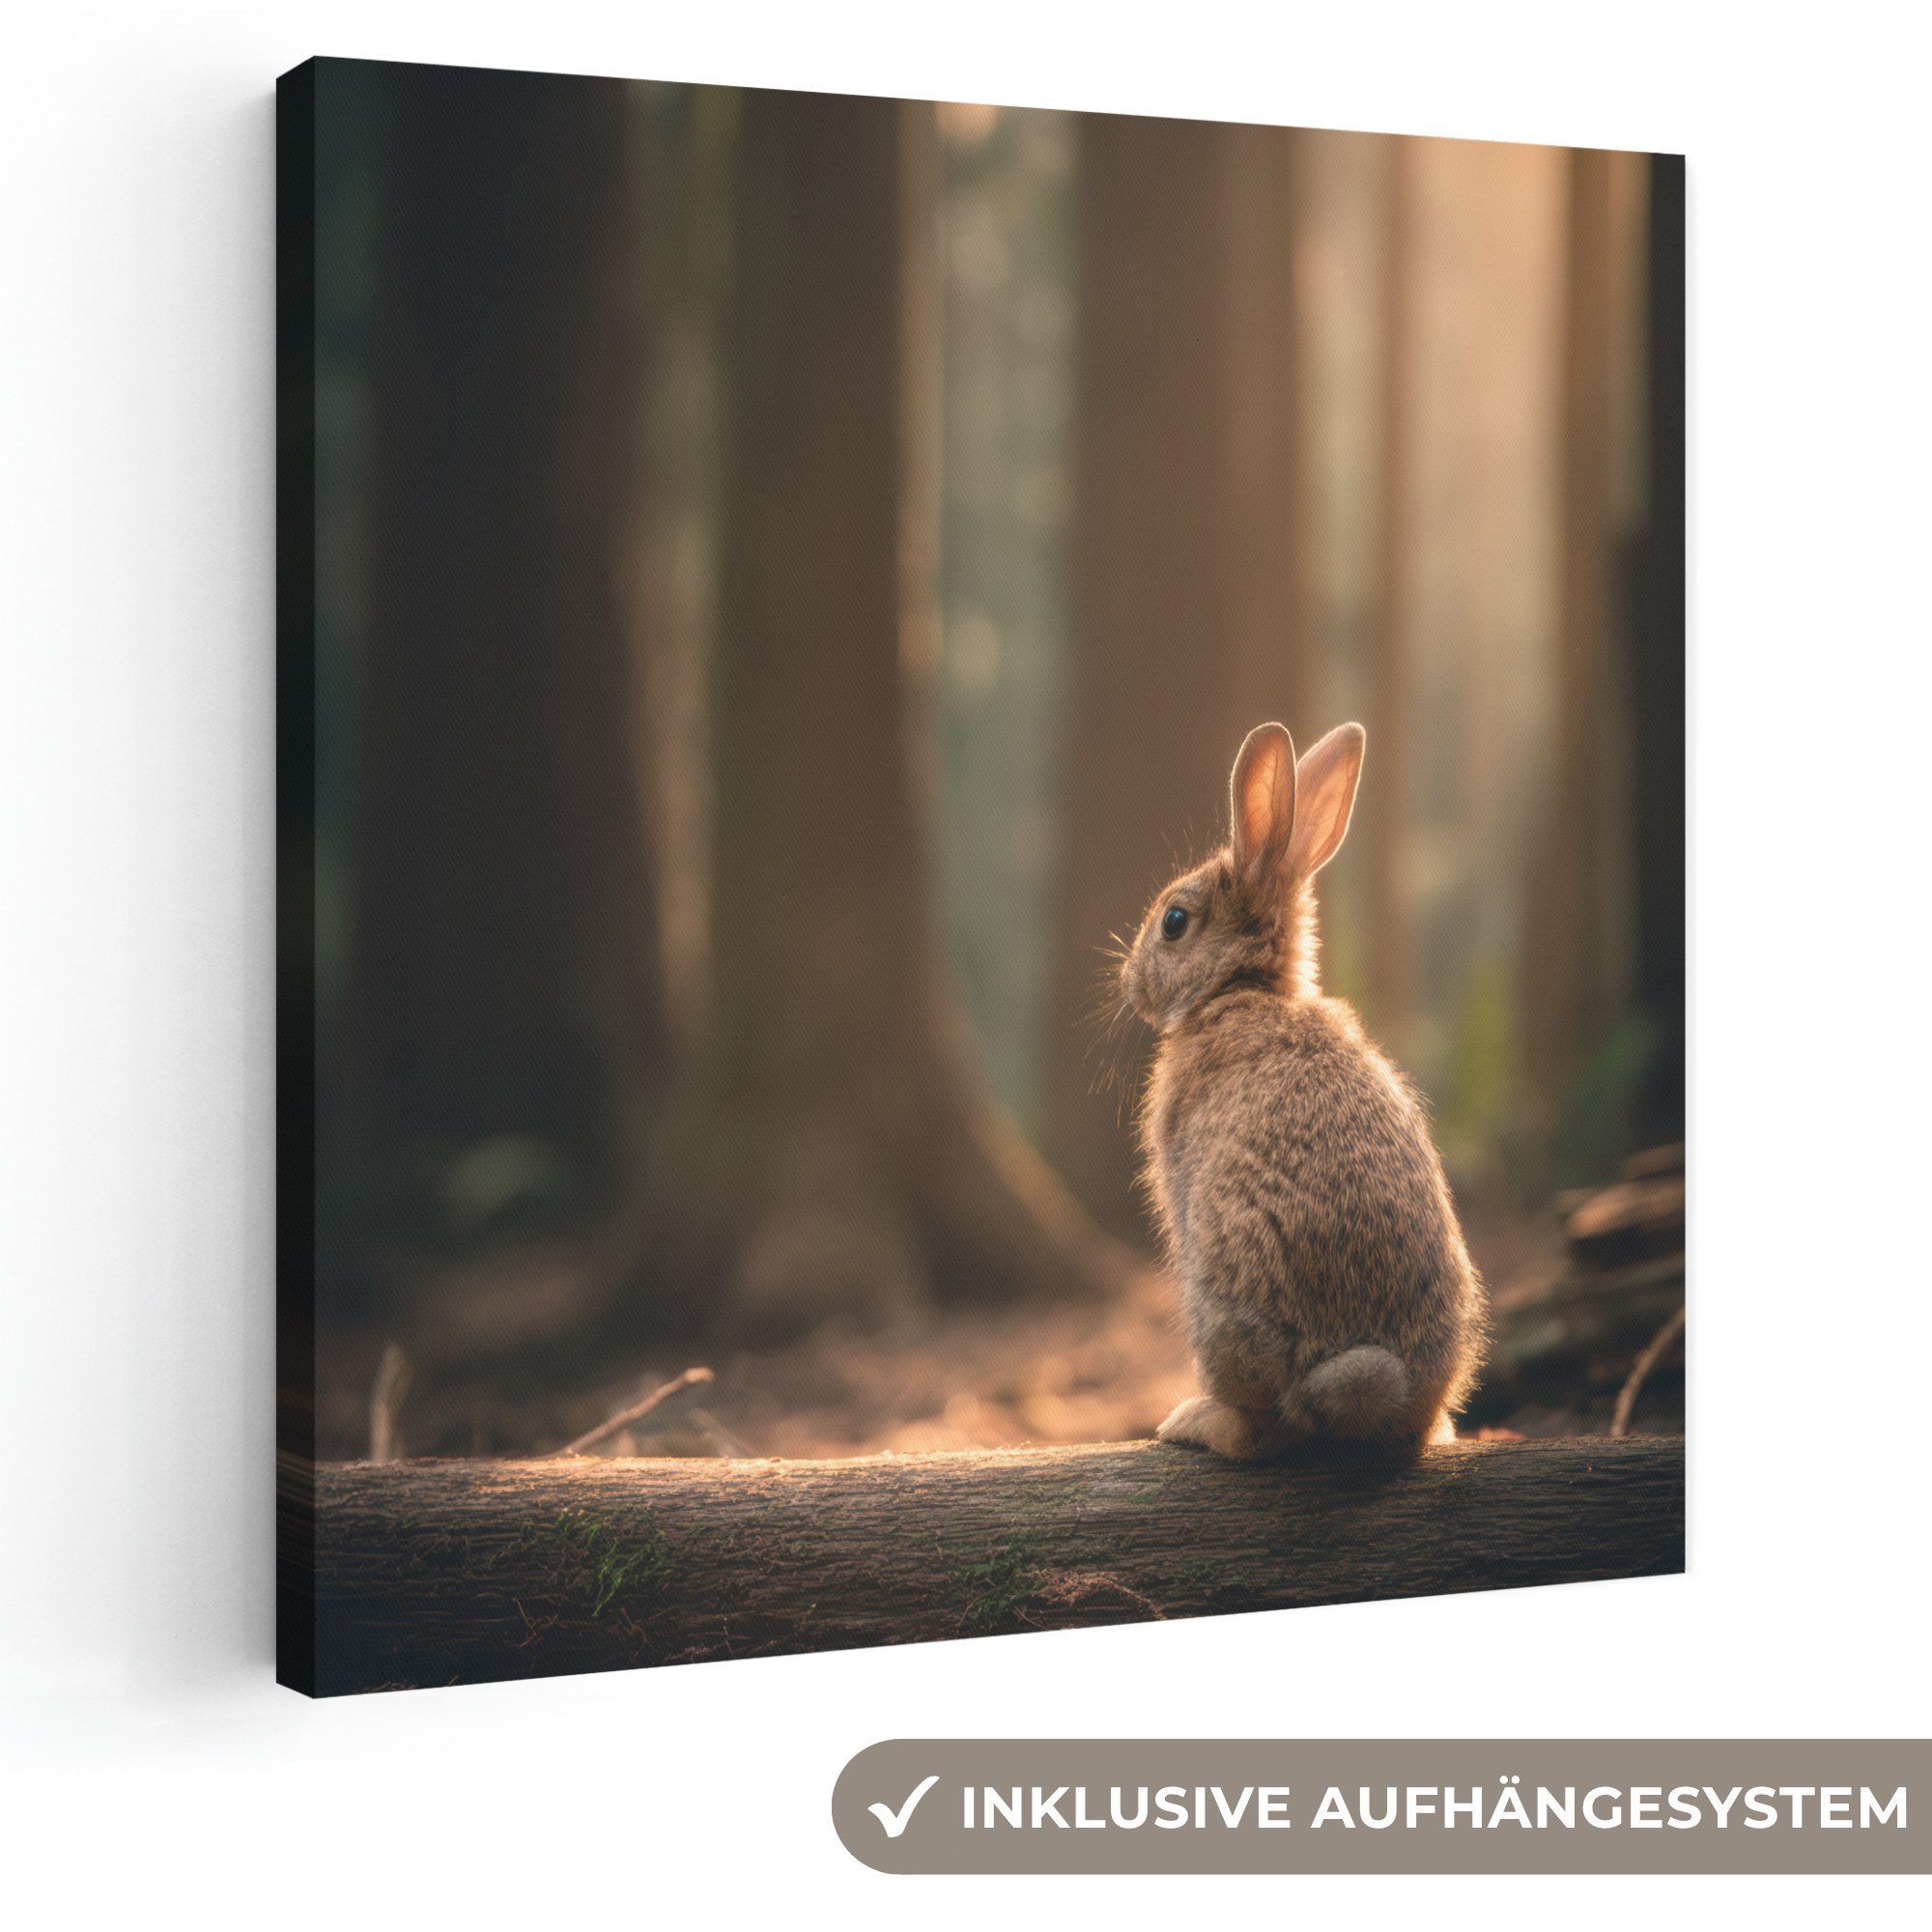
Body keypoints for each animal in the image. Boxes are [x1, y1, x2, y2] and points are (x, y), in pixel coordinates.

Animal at [1121, 720, 1487, 1459]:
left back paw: (1193, 1422)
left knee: (1261, 1429)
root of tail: (1367, 1386)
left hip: (1219, 1306)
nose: (1129, 982)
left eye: (1174, 921)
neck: (1240, 989)